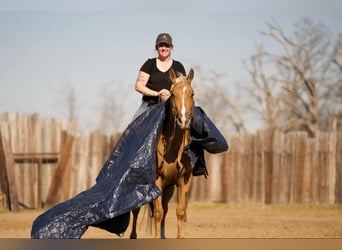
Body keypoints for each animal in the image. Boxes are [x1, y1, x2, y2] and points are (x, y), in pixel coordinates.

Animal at [130, 67, 195, 239]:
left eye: (192, 93)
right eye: (172, 94)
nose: (183, 120)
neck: (173, 150)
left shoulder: (183, 181)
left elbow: (179, 211)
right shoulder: (156, 181)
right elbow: (158, 213)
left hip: (169, 188)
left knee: (165, 208)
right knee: (136, 209)